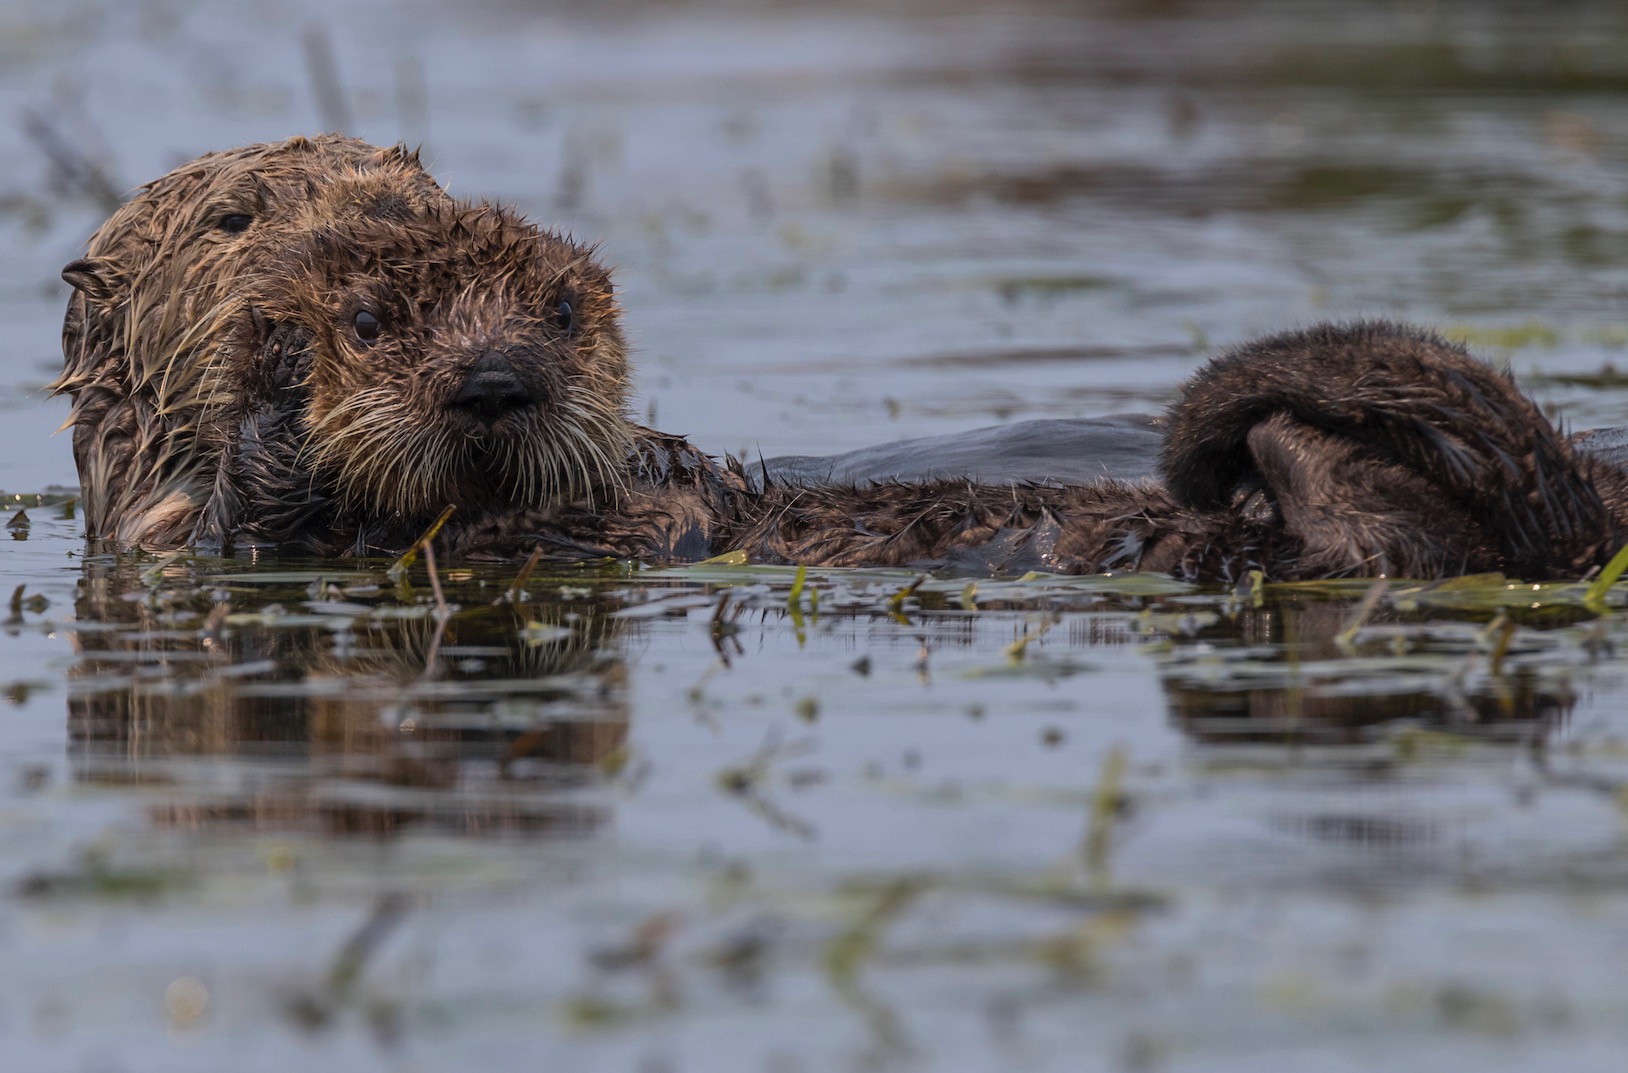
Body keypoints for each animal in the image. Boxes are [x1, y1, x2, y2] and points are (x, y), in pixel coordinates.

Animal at [50, 140, 1628, 586]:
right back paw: (1285, 457)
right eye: (237, 218)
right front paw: (275, 401)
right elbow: (245, 521)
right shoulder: (172, 538)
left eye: (408, 186)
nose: (495, 380)